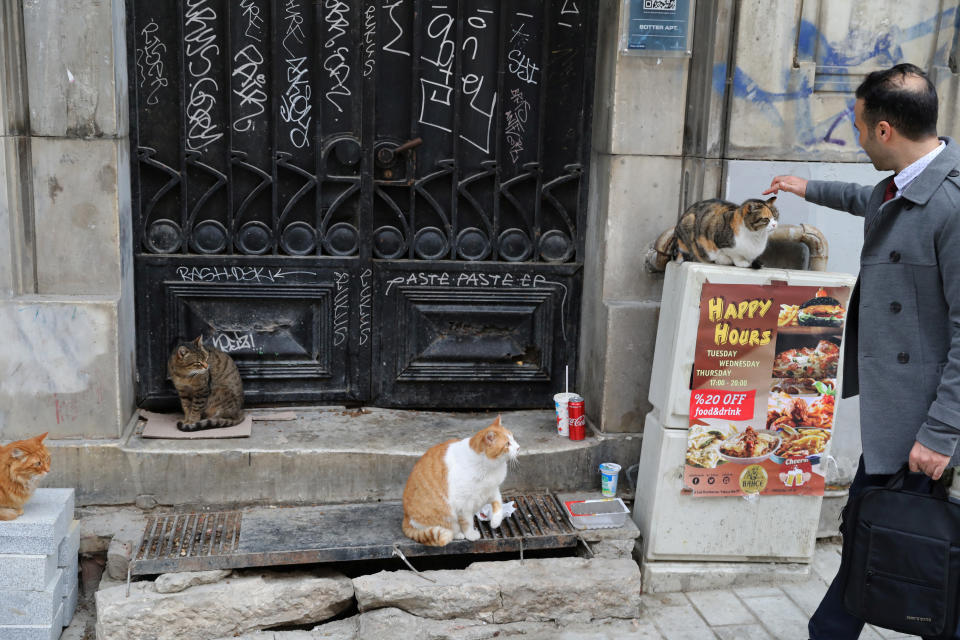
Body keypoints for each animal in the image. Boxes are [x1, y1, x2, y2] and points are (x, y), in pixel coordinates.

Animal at [404, 418, 524, 548]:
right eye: (507, 444)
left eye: (513, 438)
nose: (518, 447)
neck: (489, 467)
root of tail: (406, 516)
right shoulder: (464, 504)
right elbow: (467, 522)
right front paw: (470, 534)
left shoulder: (492, 490)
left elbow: (498, 504)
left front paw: (495, 521)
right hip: (446, 514)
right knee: (451, 528)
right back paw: (458, 534)